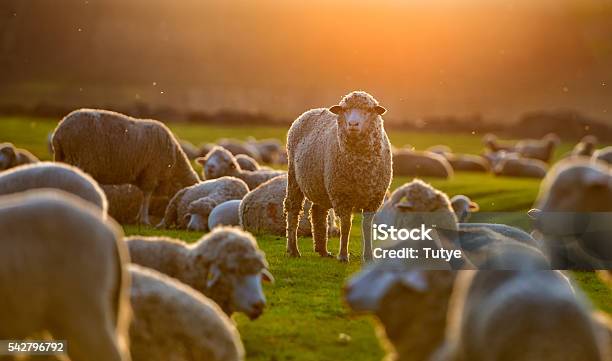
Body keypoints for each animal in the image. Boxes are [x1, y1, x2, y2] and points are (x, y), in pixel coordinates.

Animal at [51, 108, 198, 224]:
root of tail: (60, 131)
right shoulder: (151, 172)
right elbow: (146, 196)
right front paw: (144, 220)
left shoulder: (143, 175)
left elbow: (142, 196)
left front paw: (138, 218)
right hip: (81, 159)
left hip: (62, 159)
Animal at [286, 90, 392, 262]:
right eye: (344, 110)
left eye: (369, 110)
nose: (353, 124)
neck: (360, 166)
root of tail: (310, 111)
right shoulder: (342, 194)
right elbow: (346, 225)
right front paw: (343, 255)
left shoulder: (374, 198)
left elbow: (367, 226)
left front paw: (369, 256)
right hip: (293, 176)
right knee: (292, 208)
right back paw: (293, 250)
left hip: (321, 185)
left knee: (317, 211)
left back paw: (322, 250)